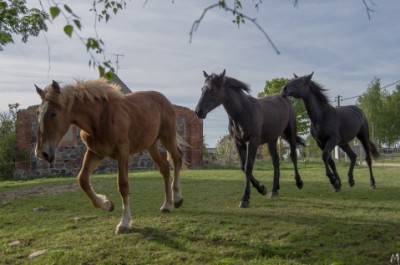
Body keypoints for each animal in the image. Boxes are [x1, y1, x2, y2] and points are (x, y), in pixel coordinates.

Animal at [34, 79, 184, 233]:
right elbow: (82, 179)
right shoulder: (95, 153)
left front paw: (124, 222)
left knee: (177, 159)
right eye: (38, 113)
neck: (99, 118)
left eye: (53, 113)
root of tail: (165, 100)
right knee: (164, 167)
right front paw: (106, 204)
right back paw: (166, 205)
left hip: (167, 137)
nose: (42, 153)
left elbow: (123, 185)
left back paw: (177, 199)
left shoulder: (122, 152)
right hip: (151, 145)